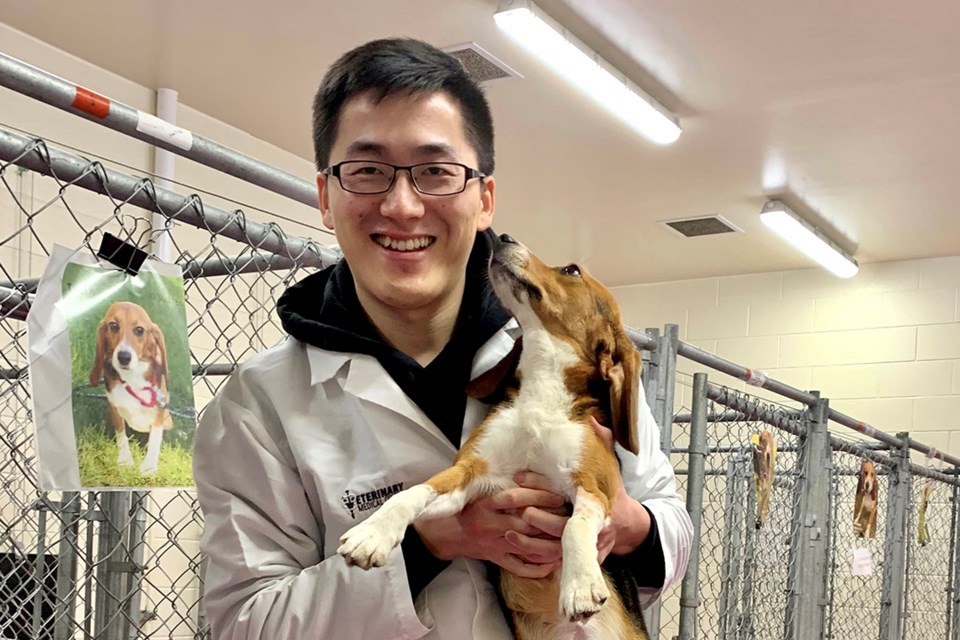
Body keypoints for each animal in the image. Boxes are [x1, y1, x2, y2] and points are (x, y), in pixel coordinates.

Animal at [90, 302, 172, 476]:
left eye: (139, 330)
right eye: (113, 326)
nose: (124, 357)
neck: (133, 378)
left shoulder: (159, 411)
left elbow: (155, 436)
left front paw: (149, 465)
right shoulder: (114, 407)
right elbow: (121, 434)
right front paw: (125, 459)